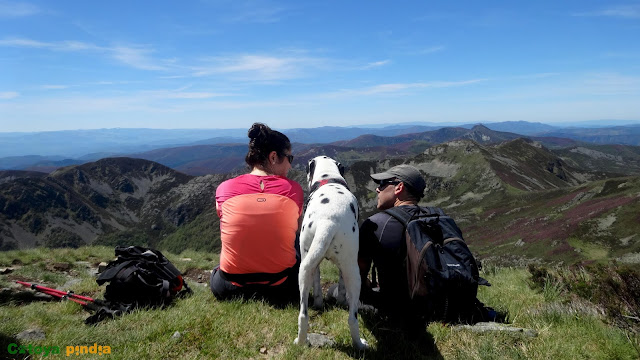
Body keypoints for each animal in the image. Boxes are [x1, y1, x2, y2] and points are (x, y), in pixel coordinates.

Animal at [294, 155, 368, 348]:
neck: (329, 178)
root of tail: (328, 221)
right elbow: (341, 288)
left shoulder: (315, 264)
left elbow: (318, 288)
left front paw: (319, 304)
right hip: (353, 272)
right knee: (352, 318)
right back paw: (360, 344)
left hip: (304, 269)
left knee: (303, 315)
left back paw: (301, 341)